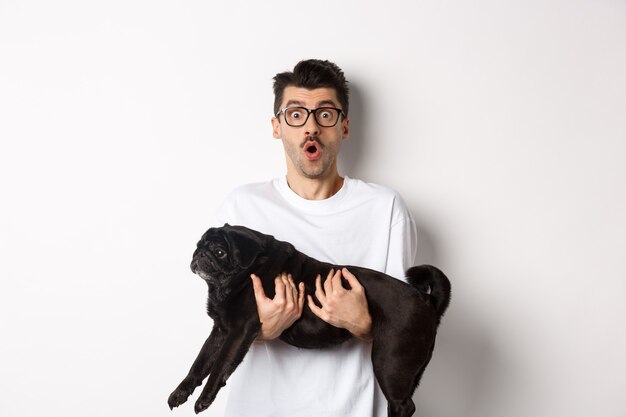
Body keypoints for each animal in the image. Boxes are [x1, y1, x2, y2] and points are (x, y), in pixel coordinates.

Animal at [166, 224, 448, 416]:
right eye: (199, 244)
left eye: (220, 251)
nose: (200, 254)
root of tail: (426, 301)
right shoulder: (220, 332)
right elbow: (200, 364)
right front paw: (180, 392)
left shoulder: (237, 332)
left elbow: (218, 367)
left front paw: (204, 398)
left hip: (388, 362)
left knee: (403, 404)